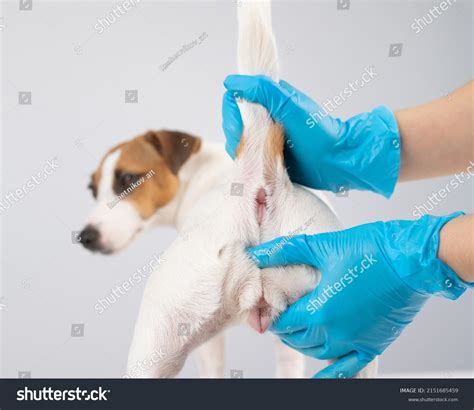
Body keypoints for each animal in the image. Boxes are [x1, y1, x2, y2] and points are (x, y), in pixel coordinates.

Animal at [81, 0, 378, 378]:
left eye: (127, 179)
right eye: (92, 190)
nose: (85, 236)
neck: (201, 173)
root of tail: (256, 179)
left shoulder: (209, 345)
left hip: (153, 346)